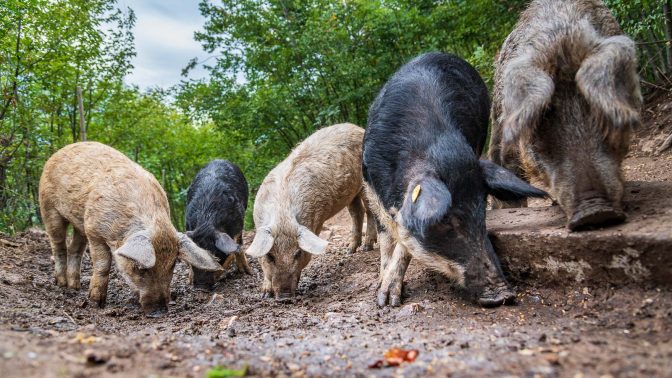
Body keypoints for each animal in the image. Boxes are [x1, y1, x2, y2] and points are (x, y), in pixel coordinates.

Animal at [38, 142, 222, 316]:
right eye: (140, 268)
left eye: (172, 265)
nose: (159, 312)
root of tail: (58, 152)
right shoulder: (94, 231)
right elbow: (103, 265)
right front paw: (96, 303)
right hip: (48, 206)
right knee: (59, 245)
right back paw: (62, 284)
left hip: (79, 224)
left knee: (75, 249)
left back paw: (74, 286)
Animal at [185, 159, 251, 290]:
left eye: (215, 256)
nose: (200, 286)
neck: (207, 219)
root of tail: (219, 159)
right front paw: (189, 280)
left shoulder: (238, 224)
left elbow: (238, 246)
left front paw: (246, 272)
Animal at [244, 122, 378, 300]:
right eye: (270, 256)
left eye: (298, 253)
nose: (285, 296)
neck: (282, 215)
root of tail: (357, 127)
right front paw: (265, 294)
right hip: (350, 193)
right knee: (357, 212)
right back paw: (350, 250)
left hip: (364, 182)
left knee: (369, 210)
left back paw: (367, 247)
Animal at [362, 52, 544, 308]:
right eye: (446, 220)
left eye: (481, 213)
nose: (505, 295)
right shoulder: (371, 187)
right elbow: (389, 239)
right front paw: (384, 299)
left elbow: (404, 241)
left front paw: (389, 298)